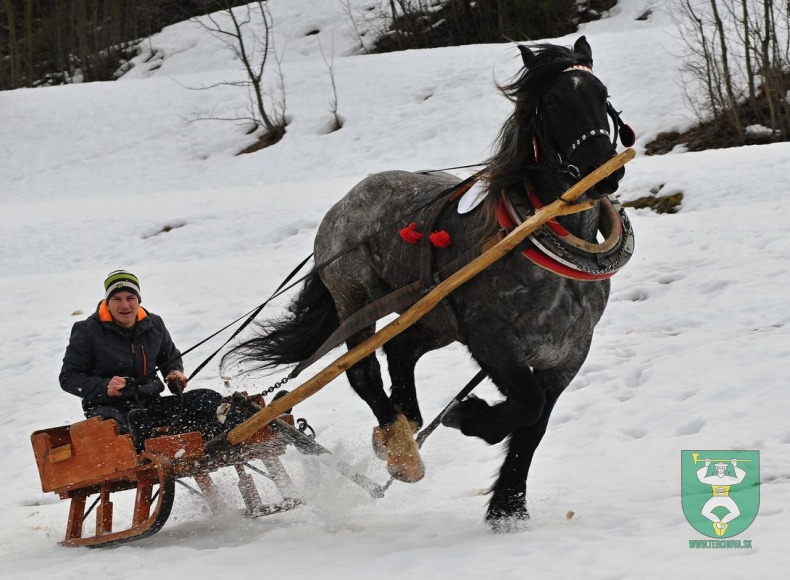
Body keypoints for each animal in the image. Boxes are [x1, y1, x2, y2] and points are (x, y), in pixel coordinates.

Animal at [224, 36, 636, 532]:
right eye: (554, 102)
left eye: (602, 94)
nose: (605, 170)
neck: (538, 238)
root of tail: (342, 203)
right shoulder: (492, 339)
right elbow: (526, 405)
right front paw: (470, 416)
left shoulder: (568, 354)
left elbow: (533, 427)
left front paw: (508, 509)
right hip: (357, 299)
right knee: (363, 370)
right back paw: (402, 452)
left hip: (434, 316)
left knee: (401, 350)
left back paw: (399, 430)